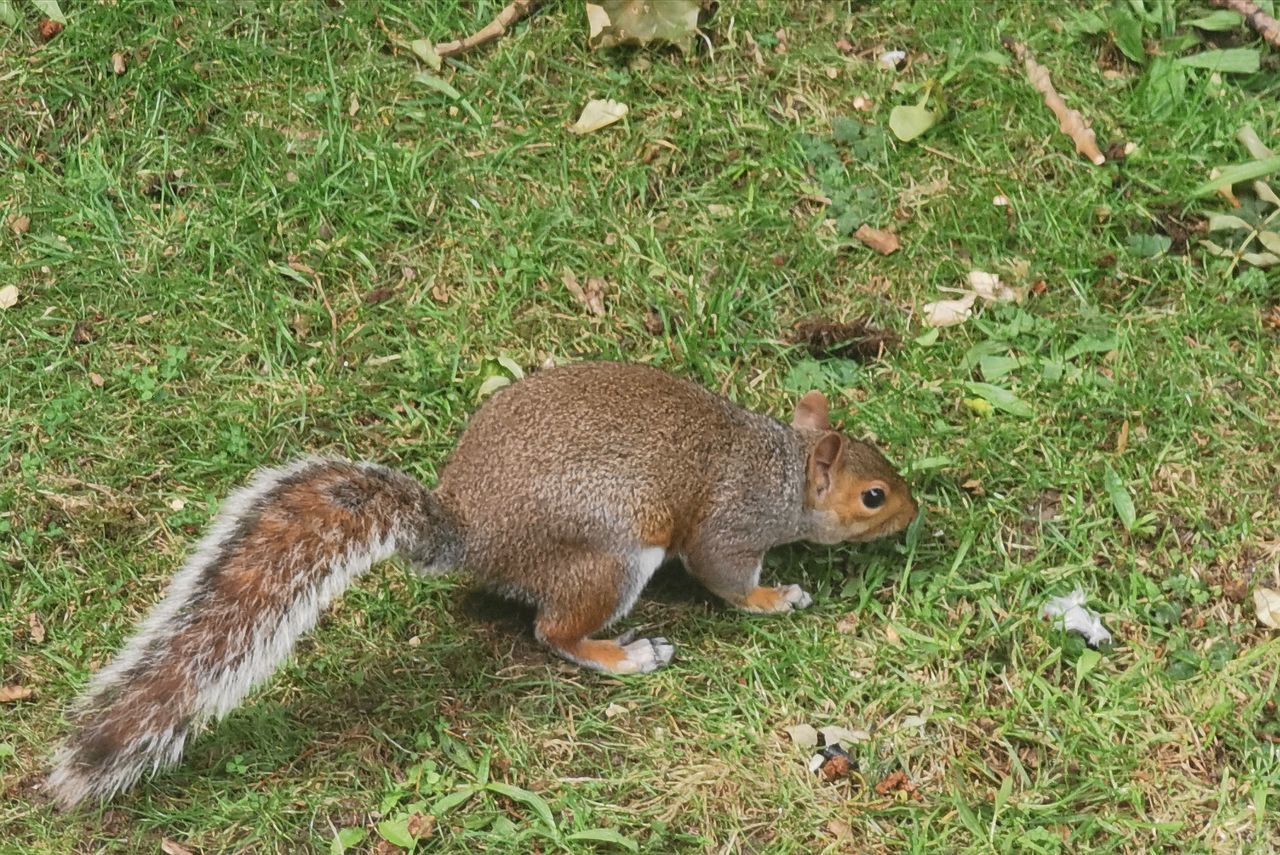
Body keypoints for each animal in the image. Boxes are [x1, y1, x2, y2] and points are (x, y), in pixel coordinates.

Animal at [45, 358, 916, 808]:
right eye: (874, 494)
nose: (917, 512)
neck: (781, 471)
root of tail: (474, 535)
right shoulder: (728, 527)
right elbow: (726, 577)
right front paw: (776, 597)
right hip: (610, 558)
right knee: (554, 631)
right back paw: (626, 653)